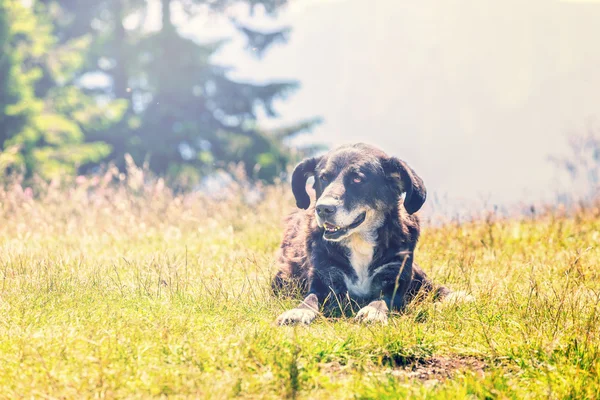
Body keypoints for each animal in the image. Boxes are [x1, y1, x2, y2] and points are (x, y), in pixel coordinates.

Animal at [272, 144, 464, 324]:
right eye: (324, 178)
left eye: (357, 179)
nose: (323, 208)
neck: (359, 240)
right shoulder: (324, 277)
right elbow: (310, 299)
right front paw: (298, 312)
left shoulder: (395, 277)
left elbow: (382, 300)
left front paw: (373, 311)